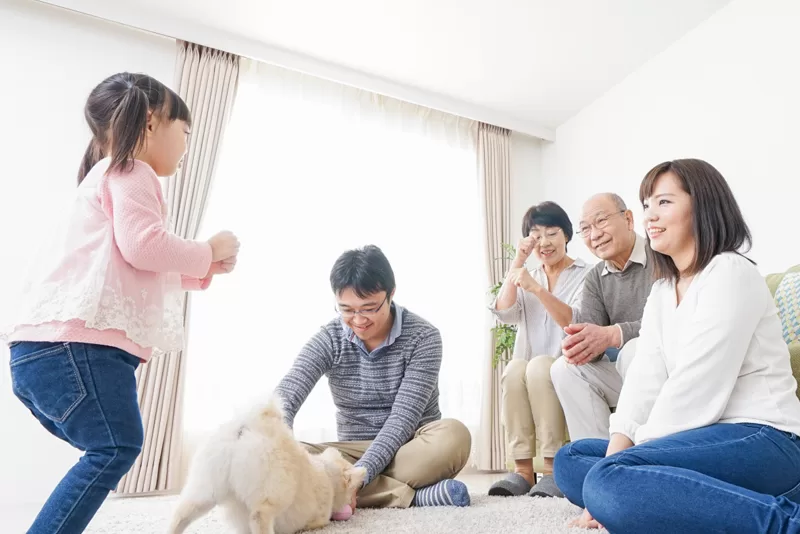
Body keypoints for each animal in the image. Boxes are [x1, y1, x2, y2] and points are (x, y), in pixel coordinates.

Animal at [167, 395, 366, 534]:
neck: (327, 473)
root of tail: (248, 426)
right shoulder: (320, 518)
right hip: (278, 490)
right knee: (259, 516)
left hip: (206, 488)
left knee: (181, 514)